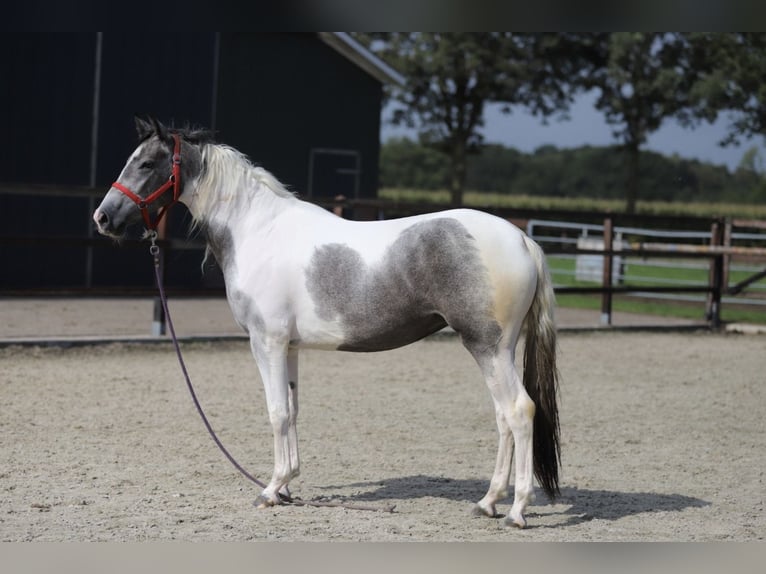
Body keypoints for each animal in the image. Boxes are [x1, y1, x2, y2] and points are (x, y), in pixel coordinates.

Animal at [93, 116, 560, 528]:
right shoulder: (290, 347)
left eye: (146, 164)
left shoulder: (266, 342)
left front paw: (270, 490)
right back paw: (488, 503)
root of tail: (522, 239)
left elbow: (276, 411)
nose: (103, 218)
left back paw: (516, 510)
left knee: (519, 412)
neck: (257, 231)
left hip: (487, 347)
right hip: (497, 351)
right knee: (502, 418)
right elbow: (293, 409)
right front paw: (287, 487)